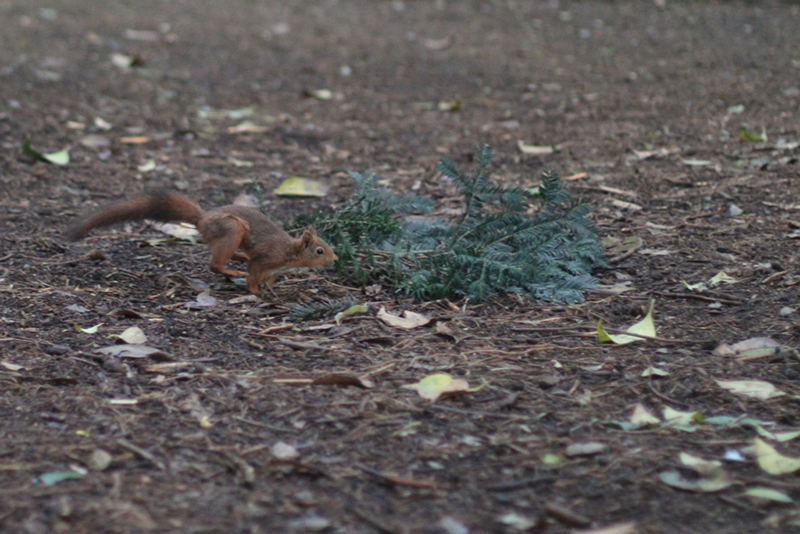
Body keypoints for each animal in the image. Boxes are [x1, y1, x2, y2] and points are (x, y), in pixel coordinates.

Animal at [64, 191, 336, 296]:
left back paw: (239, 259)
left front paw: (270, 289)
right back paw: (232, 270)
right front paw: (256, 292)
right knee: (215, 264)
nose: (335, 260)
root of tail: (202, 219)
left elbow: (271, 279)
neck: (290, 252)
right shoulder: (266, 259)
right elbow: (253, 275)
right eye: (319, 250)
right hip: (232, 230)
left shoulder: (276, 269)